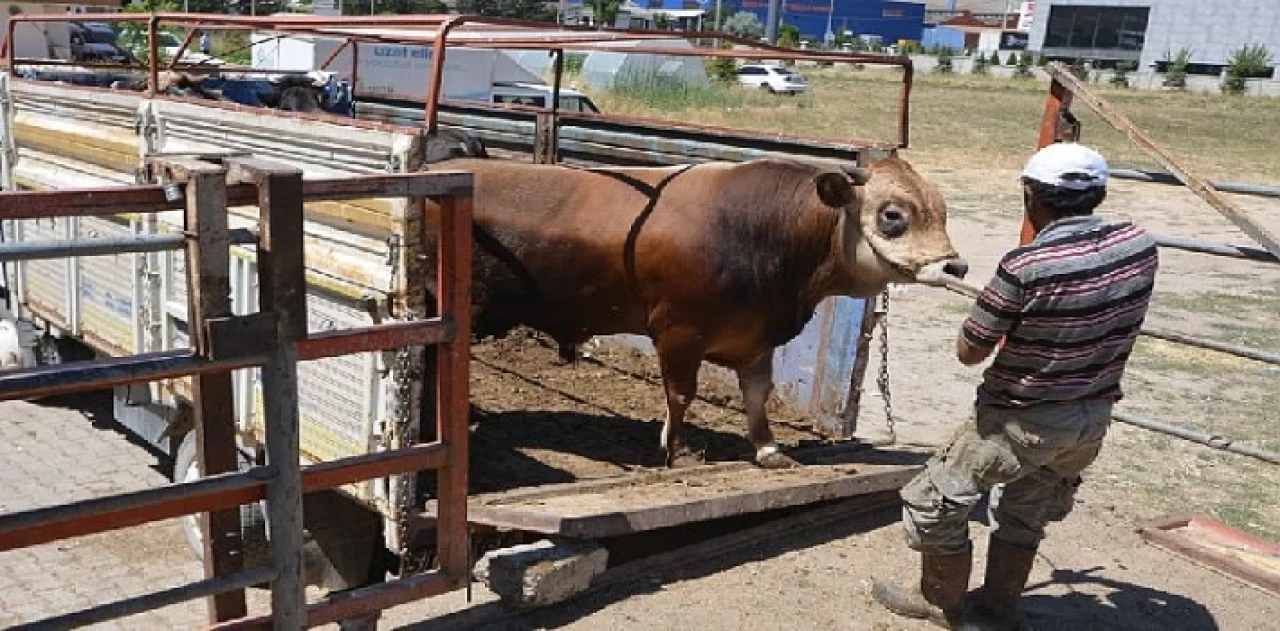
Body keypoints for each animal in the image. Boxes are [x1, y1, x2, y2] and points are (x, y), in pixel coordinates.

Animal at [424, 154, 962, 465]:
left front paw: (769, 449)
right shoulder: (678, 332)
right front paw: (677, 453)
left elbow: (757, 394)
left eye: (942, 210)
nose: (956, 265)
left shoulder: (755, 339)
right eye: (893, 215)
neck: (757, 230)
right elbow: (681, 395)